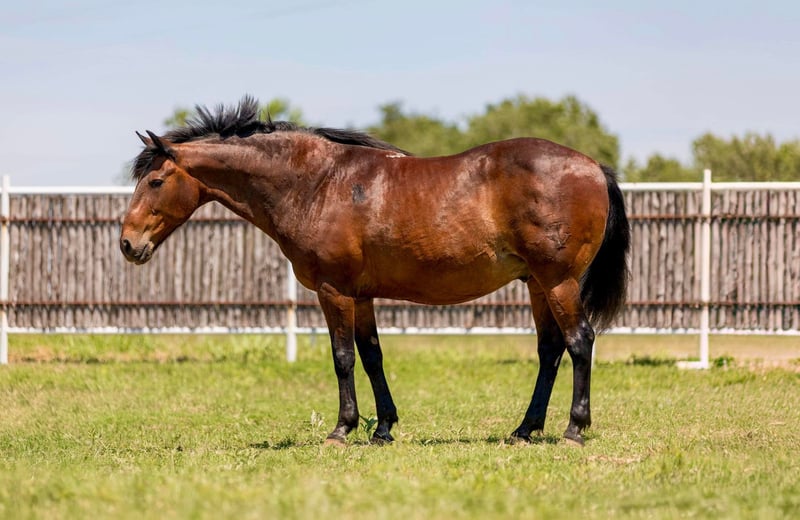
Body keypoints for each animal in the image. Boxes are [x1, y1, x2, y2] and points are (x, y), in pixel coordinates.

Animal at [120, 96, 630, 446]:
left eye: (156, 181)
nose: (128, 244)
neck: (317, 184)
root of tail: (593, 166)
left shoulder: (334, 291)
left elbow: (343, 357)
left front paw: (342, 429)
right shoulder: (361, 295)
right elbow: (371, 356)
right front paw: (382, 428)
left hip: (559, 282)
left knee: (579, 341)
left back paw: (573, 429)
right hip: (537, 285)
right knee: (550, 351)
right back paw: (524, 429)